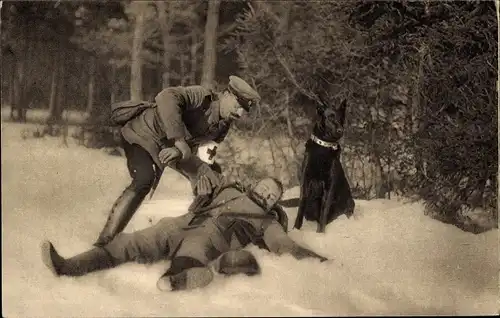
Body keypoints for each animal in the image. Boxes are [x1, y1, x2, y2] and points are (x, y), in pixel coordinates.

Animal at [292, 95, 356, 232]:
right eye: (330, 117)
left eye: (341, 119)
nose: (340, 130)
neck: (324, 147)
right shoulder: (305, 181)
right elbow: (300, 207)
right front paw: (296, 229)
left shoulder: (329, 186)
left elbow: (323, 213)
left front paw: (320, 234)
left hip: (349, 202)